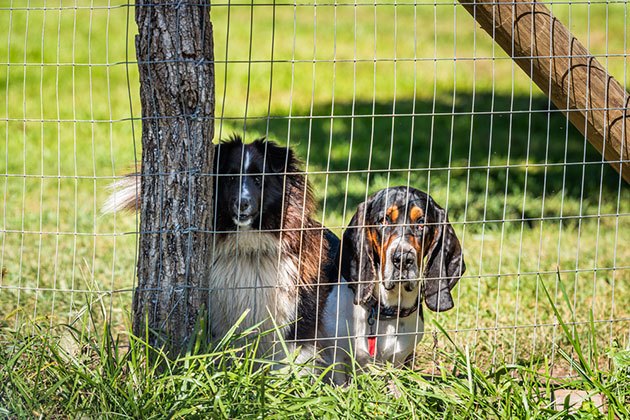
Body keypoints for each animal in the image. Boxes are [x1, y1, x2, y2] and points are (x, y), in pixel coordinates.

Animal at [324, 185, 466, 382]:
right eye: (384, 220)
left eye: (421, 223)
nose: (403, 258)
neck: (385, 312)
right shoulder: (337, 359)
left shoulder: (398, 361)